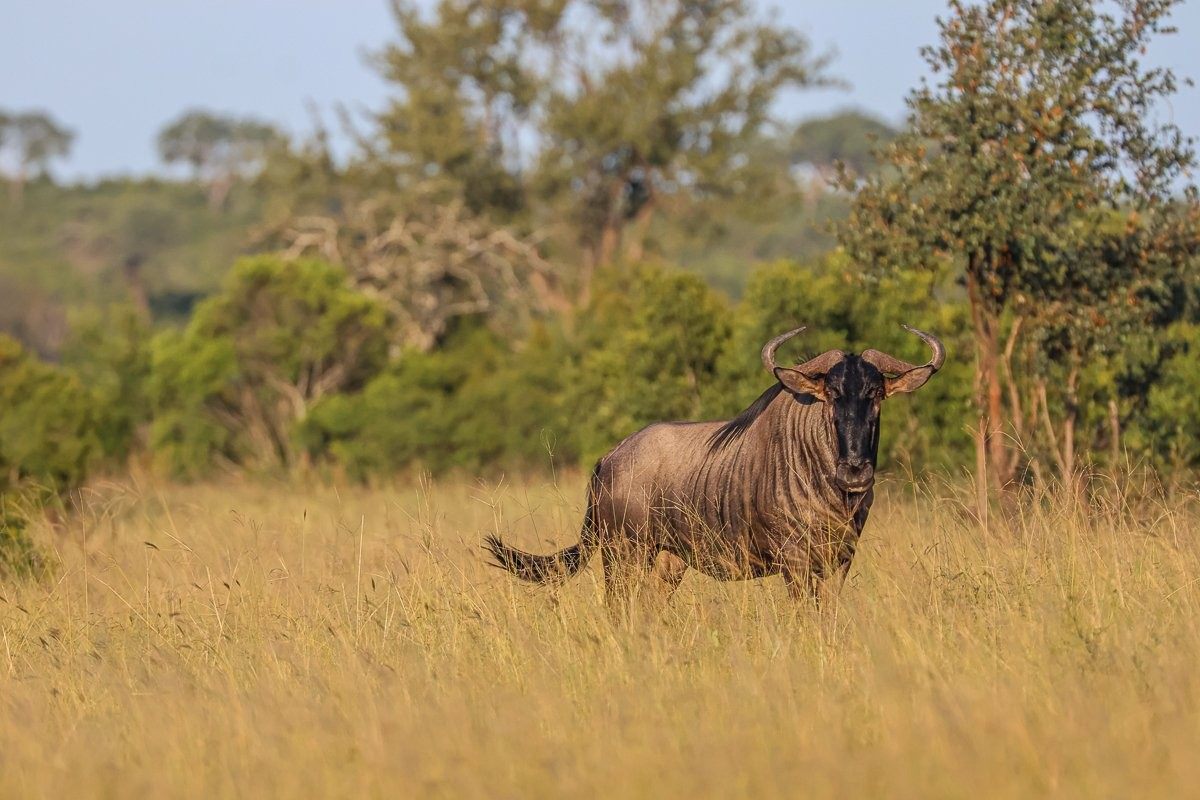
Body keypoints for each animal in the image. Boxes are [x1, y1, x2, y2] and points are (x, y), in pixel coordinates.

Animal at [484, 325, 945, 611]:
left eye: (877, 394)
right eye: (831, 394)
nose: (855, 472)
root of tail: (608, 461)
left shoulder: (840, 560)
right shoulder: (796, 563)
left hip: (667, 564)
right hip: (623, 557)